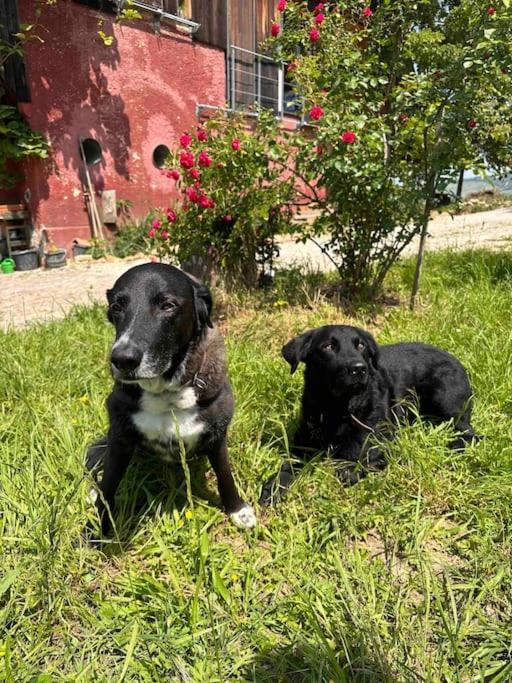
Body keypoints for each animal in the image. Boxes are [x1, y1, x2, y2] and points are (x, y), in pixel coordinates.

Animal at [86, 264, 258, 536]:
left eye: (167, 305)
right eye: (117, 306)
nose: (123, 359)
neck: (165, 392)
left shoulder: (217, 435)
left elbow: (224, 474)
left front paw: (237, 510)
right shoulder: (119, 439)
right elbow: (109, 487)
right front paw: (98, 532)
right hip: (96, 449)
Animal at [260, 326, 480, 508]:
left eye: (361, 345)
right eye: (328, 346)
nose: (359, 368)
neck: (338, 410)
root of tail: (458, 362)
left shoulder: (377, 442)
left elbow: (350, 467)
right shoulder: (303, 446)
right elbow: (287, 467)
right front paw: (273, 488)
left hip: (445, 399)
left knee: (469, 432)